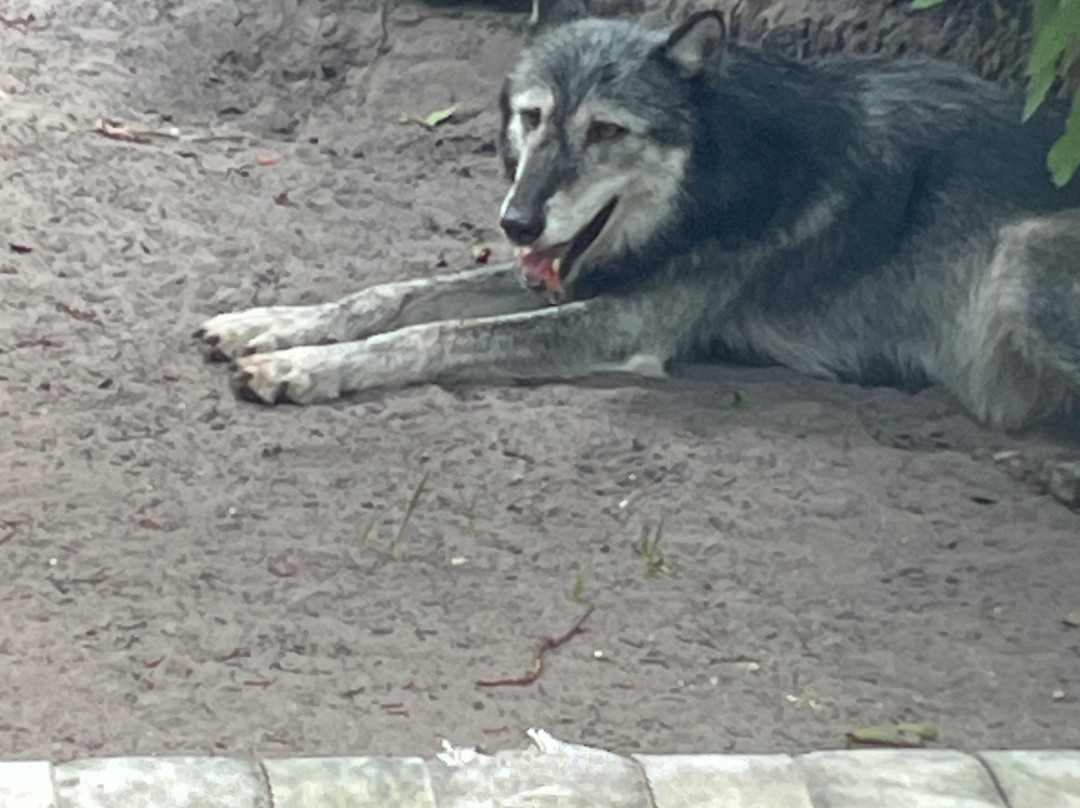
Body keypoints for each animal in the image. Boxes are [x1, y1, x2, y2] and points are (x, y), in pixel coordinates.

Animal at [196, 5, 1080, 433]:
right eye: (532, 117)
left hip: (1020, 255)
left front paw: (302, 368)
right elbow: (394, 295)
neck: (723, 171)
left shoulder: (625, 323)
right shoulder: (565, 275)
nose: (517, 222)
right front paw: (267, 325)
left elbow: (437, 332)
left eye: (607, 132)